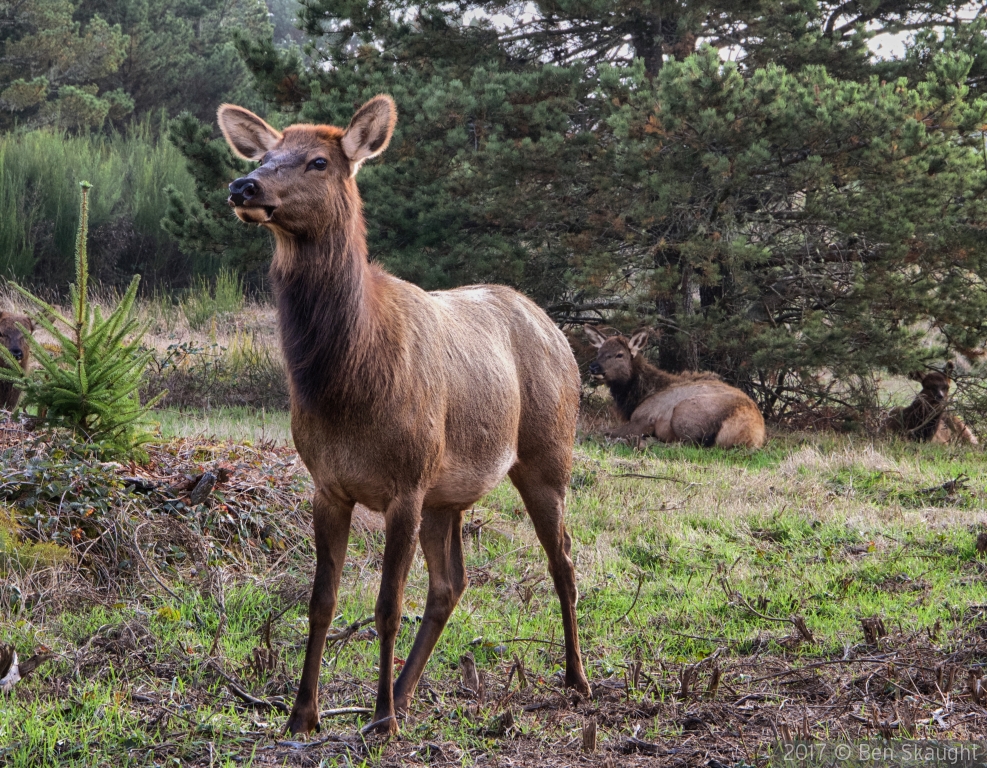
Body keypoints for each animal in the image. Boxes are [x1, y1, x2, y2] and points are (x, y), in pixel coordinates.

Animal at [220, 97, 592, 736]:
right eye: (266, 154)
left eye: (319, 161)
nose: (244, 185)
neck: (349, 386)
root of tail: (552, 326)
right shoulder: (328, 484)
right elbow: (322, 602)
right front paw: (303, 714)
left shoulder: (406, 483)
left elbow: (388, 605)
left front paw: (381, 721)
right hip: (449, 493)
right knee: (451, 584)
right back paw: (405, 690)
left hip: (547, 454)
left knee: (563, 560)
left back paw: (575, 678)